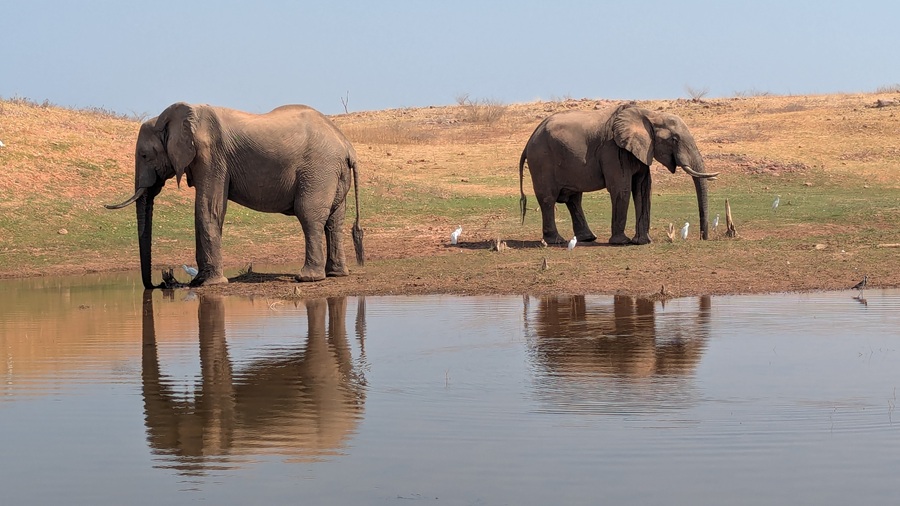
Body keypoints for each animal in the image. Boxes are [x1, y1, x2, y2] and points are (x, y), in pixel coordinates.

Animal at [106, 102, 364, 289]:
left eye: (144, 155)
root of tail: (347, 146)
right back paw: (336, 274)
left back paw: (307, 278)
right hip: (333, 174)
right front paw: (198, 281)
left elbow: (208, 207)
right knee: (334, 220)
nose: (158, 285)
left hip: (319, 170)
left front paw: (210, 284)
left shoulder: (211, 155)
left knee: (309, 216)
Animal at [518, 102, 718, 245]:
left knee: (573, 199)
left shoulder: (640, 151)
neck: (649, 114)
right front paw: (622, 242)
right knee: (548, 198)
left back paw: (588, 238)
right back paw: (557, 241)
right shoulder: (613, 150)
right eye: (674, 139)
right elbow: (622, 189)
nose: (703, 237)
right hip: (542, 160)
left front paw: (643, 242)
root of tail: (529, 141)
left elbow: (643, 189)